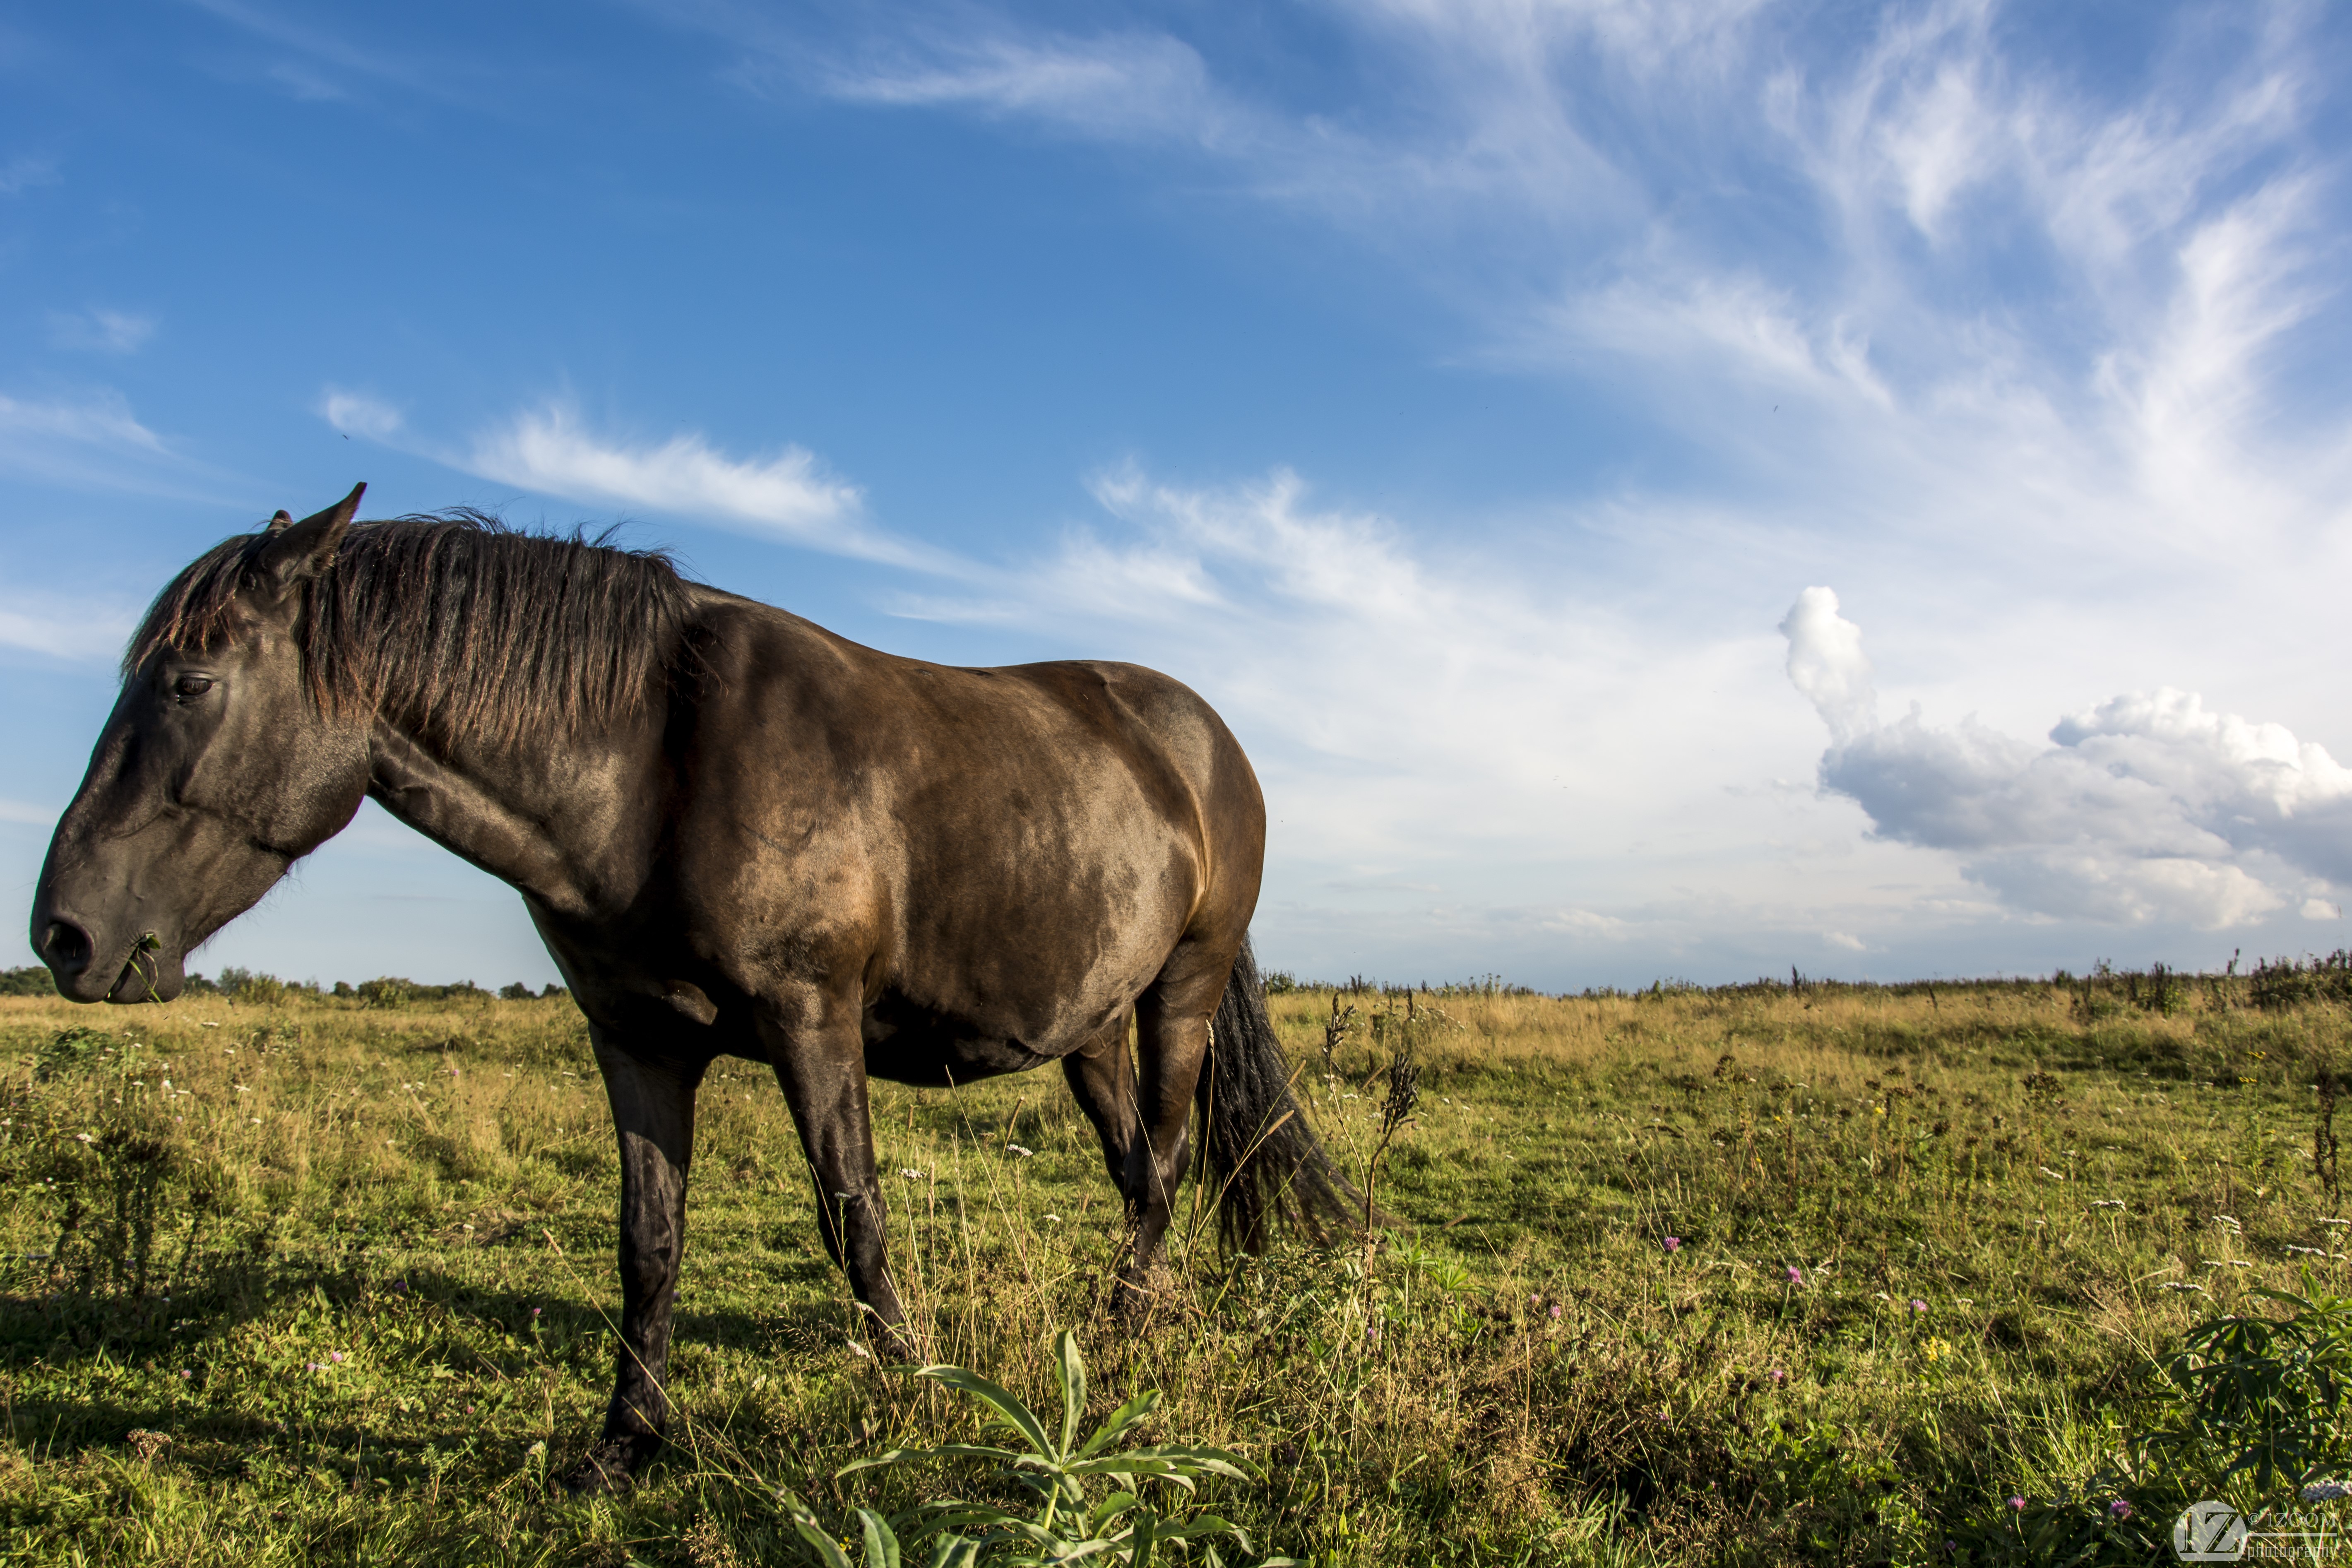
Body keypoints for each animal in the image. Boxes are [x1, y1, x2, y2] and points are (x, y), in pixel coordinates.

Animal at [28, 486, 1355, 1489]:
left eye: (191, 682)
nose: (64, 936)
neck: (648, 762)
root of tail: (1201, 740)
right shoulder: (637, 1040)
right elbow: (648, 1242)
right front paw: (623, 1443)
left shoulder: (813, 1023)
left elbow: (852, 1215)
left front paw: (912, 1395)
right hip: (1087, 1025)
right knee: (1138, 1170)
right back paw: (1145, 1315)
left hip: (1179, 992)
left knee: (1167, 1162)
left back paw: (1126, 1337)